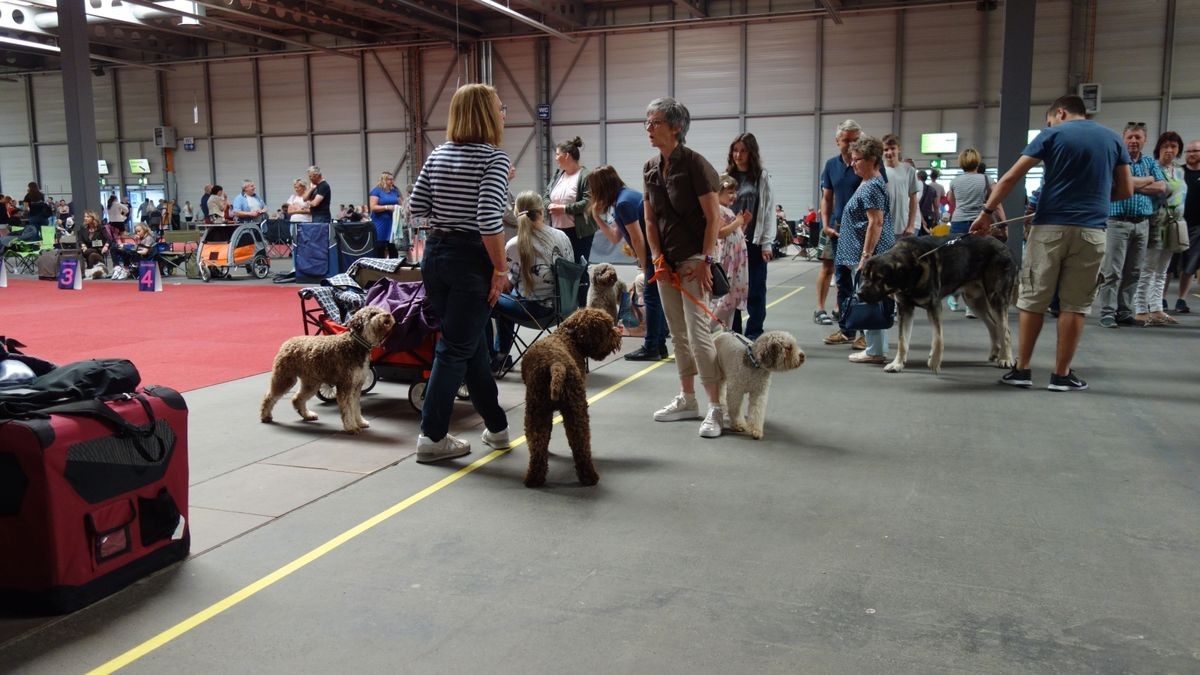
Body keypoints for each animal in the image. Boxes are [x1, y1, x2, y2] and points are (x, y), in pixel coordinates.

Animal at [260, 305, 396, 429]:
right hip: (285, 378)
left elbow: (356, 407)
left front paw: (360, 422)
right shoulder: (346, 385)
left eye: (382, 310)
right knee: (269, 396)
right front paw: (351, 426)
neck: (356, 344)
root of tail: (287, 342)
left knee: (297, 399)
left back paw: (308, 415)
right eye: (373, 314)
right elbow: (348, 408)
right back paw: (265, 416)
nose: (388, 315)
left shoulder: (357, 386)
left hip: (311, 383)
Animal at [520, 307, 624, 485]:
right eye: (607, 328)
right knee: (581, 443)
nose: (618, 335)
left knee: (537, 445)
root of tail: (555, 365)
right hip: (575, 409)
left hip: (537, 411)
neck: (568, 337)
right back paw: (590, 477)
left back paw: (534, 479)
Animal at [859, 234, 1017, 372]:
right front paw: (897, 364)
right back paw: (996, 352)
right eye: (864, 276)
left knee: (1005, 330)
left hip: (996, 297)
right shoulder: (905, 308)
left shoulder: (934, 306)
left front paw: (934, 361)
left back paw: (1006, 358)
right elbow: (902, 341)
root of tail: (1004, 246)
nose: (859, 293)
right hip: (974, 301)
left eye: (878, 278)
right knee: (993, 325)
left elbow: (938, 338)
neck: (912, 265)